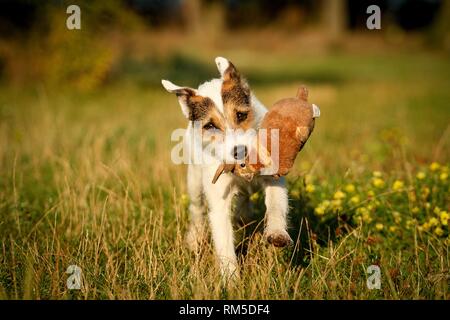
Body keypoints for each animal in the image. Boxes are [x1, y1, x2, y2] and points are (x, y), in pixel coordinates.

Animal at [162, 57, 292, 278]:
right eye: (210, 126)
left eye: (240, 115)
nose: (241, 152)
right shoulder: (218, 197)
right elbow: (223, 239)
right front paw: (231, 278)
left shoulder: (273, 176)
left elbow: (276, 202)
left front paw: (277, 232)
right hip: (194, 181)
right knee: (197, 209)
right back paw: (195, 238)